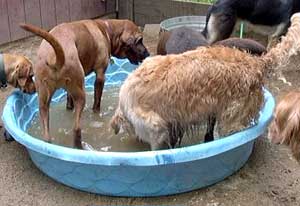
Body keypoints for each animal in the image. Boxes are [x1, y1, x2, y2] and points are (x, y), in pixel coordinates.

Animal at [19, 18, 149, 148]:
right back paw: (80, 147)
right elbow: (97, 103)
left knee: (47, 135)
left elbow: (69, 101)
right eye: (139, 40)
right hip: (81, 95)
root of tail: (54, 56)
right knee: (76, 129)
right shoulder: (100, 77)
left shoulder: (69, 89)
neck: (107, 29)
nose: (148, 54)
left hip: (43, 101)